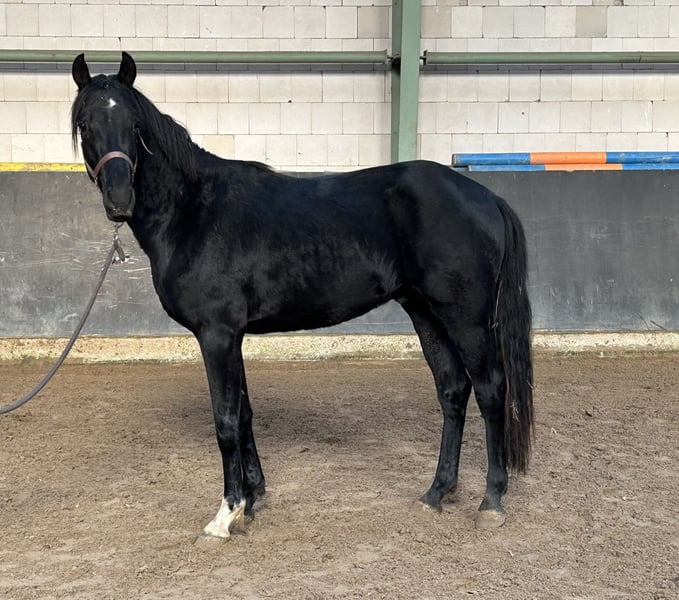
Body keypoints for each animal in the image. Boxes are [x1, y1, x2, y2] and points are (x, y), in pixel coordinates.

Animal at [70, 52, 533, 538]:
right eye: (85, 123)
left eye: (134, 123)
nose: (119, 199)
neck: (195, 211)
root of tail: (485, 197)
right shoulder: (232, 336)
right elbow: (245, 414)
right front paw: (252, 498)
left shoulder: (216, 335)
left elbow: (226, 420)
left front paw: (226, 513)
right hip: (426, 313)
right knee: (452, 390)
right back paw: (437, 492)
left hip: (466, 318)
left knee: (490, 389)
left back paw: (492, 500)